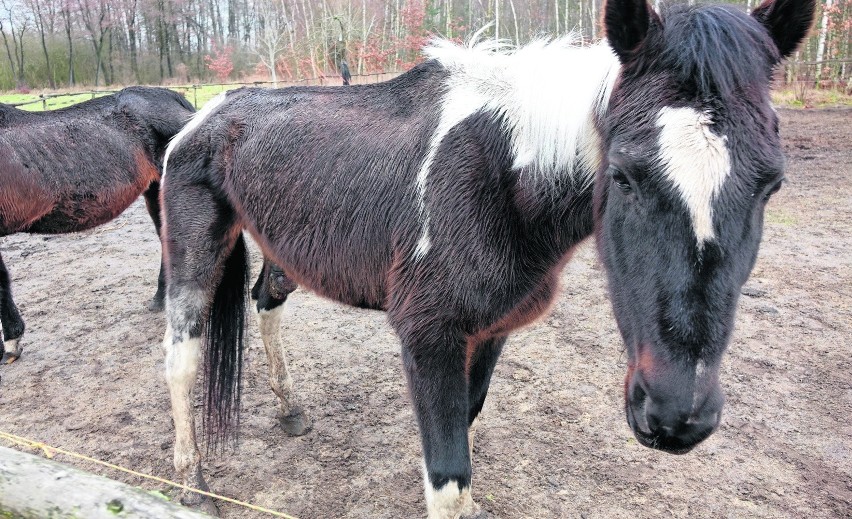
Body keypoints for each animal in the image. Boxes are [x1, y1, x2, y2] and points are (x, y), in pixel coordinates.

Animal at [158, 1, 812, 516]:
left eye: (772, 184)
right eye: (624, 174)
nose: (678, 415)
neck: (504, 177)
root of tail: (205, 115)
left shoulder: (491, 330)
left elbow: (465, 430)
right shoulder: (429, 339)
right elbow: (448, 477)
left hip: (283, 254)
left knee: (265, 304)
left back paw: (290, 411)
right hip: (196, 253)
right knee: (182, 357)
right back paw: (192, 481)